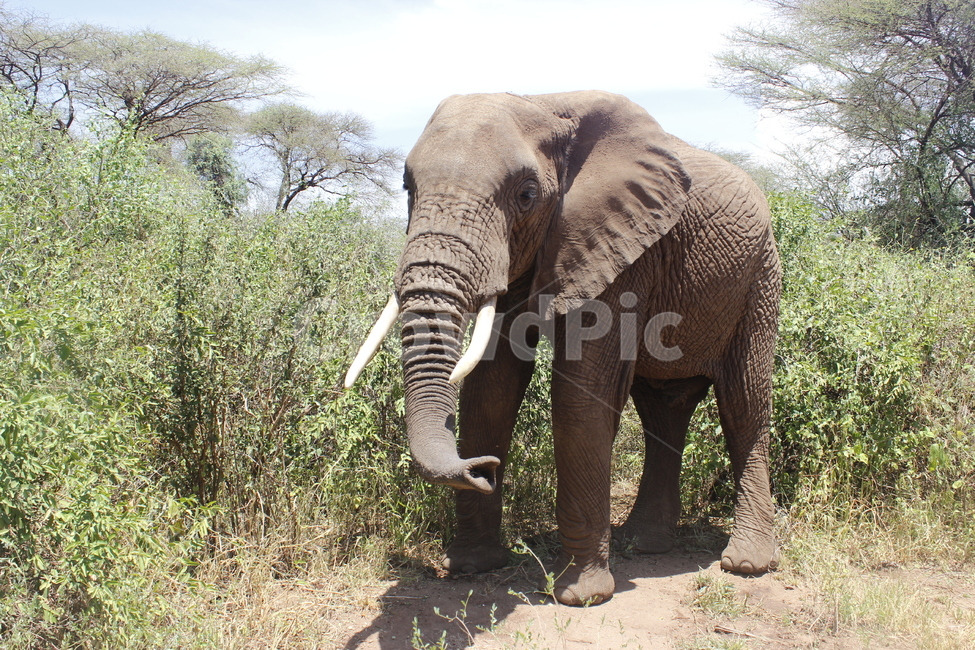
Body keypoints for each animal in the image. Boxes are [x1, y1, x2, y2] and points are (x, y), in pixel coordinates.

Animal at [345, 90, 781, 606]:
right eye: (408, 188)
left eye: (526, 195)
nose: (483, 469)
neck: (541, 101)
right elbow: (492, 386)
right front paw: (472, 566)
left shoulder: (617, 245)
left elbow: (579, 390)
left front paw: (581, 596)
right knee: (662, 407)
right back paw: (643, 544)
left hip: (760, 277)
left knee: (744, 403)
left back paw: (746, 564)